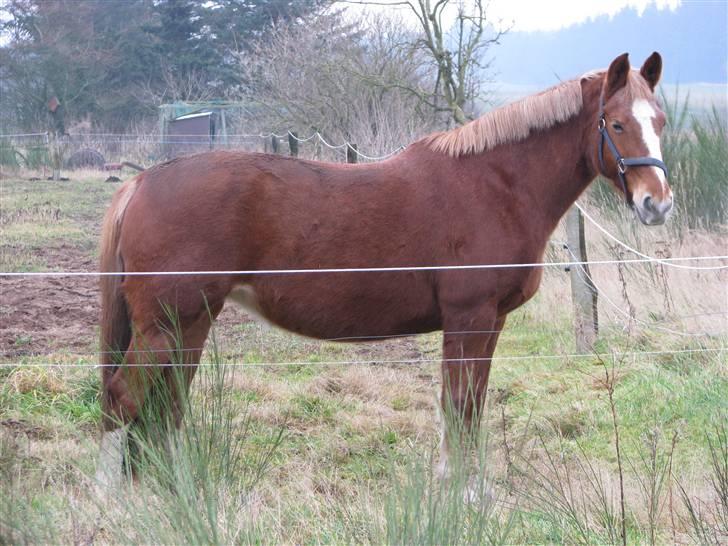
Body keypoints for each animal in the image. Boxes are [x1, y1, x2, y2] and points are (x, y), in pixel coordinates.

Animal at [95, 51, 672, 484]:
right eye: (616, 123)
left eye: (661, 122)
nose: (657, 204)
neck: (494, 185)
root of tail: (141, 184)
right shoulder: (468, 319)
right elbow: (458, 407)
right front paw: (460, 495)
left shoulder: (489, 324)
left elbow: (472, 407)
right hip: (167, 324)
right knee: (126, 398)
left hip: (189, 323)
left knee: (165, 404)